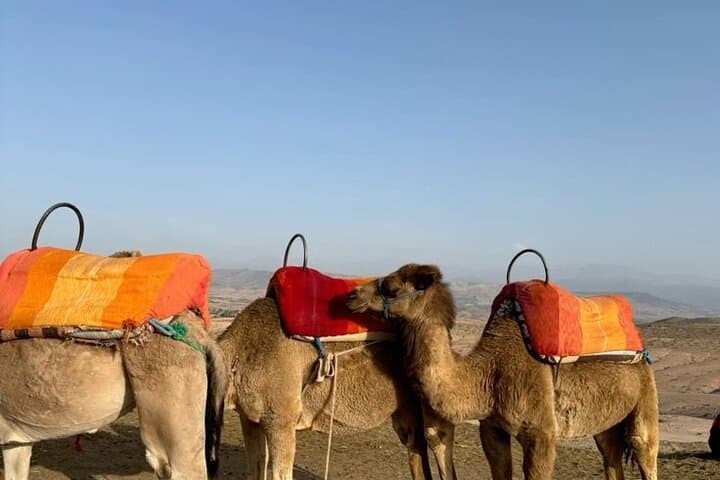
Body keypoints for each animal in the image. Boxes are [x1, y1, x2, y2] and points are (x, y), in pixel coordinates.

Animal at [218, 296, 457, 480]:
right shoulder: (250, 418)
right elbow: (255, 467)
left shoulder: (281, 419)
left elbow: (280, 473)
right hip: (406, 408)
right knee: (415, 446)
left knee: (439, 441)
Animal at [347, 263, 659, 480]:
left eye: (391, 287)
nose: (351, 295)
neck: (488, 373)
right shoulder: (492, 428)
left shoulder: (542, 434)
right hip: (606, 420)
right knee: (611, 456)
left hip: (646, 396)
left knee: (645, 450)